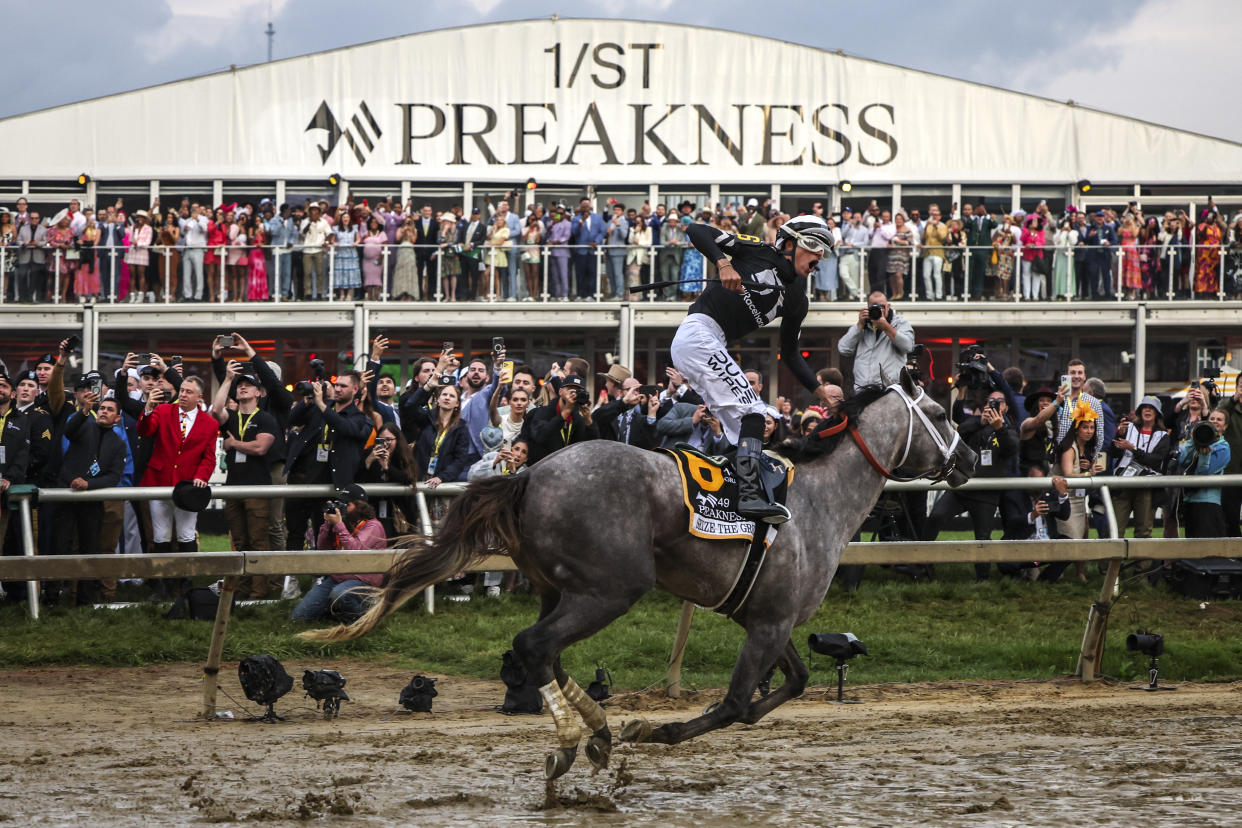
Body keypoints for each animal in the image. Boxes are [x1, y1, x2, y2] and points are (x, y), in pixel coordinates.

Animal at [298, 372, 968, 779]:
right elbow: (733, 704)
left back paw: (592, 728)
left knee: (542, 651)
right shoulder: (770, 623)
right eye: (937, 412)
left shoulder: (766, 619)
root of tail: (529, 473)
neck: (816, 503)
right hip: (610, 591)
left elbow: (791, 685)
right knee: (535, 646)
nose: (964, 458)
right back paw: (575, 738)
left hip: (558, 589)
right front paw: (654, 728)